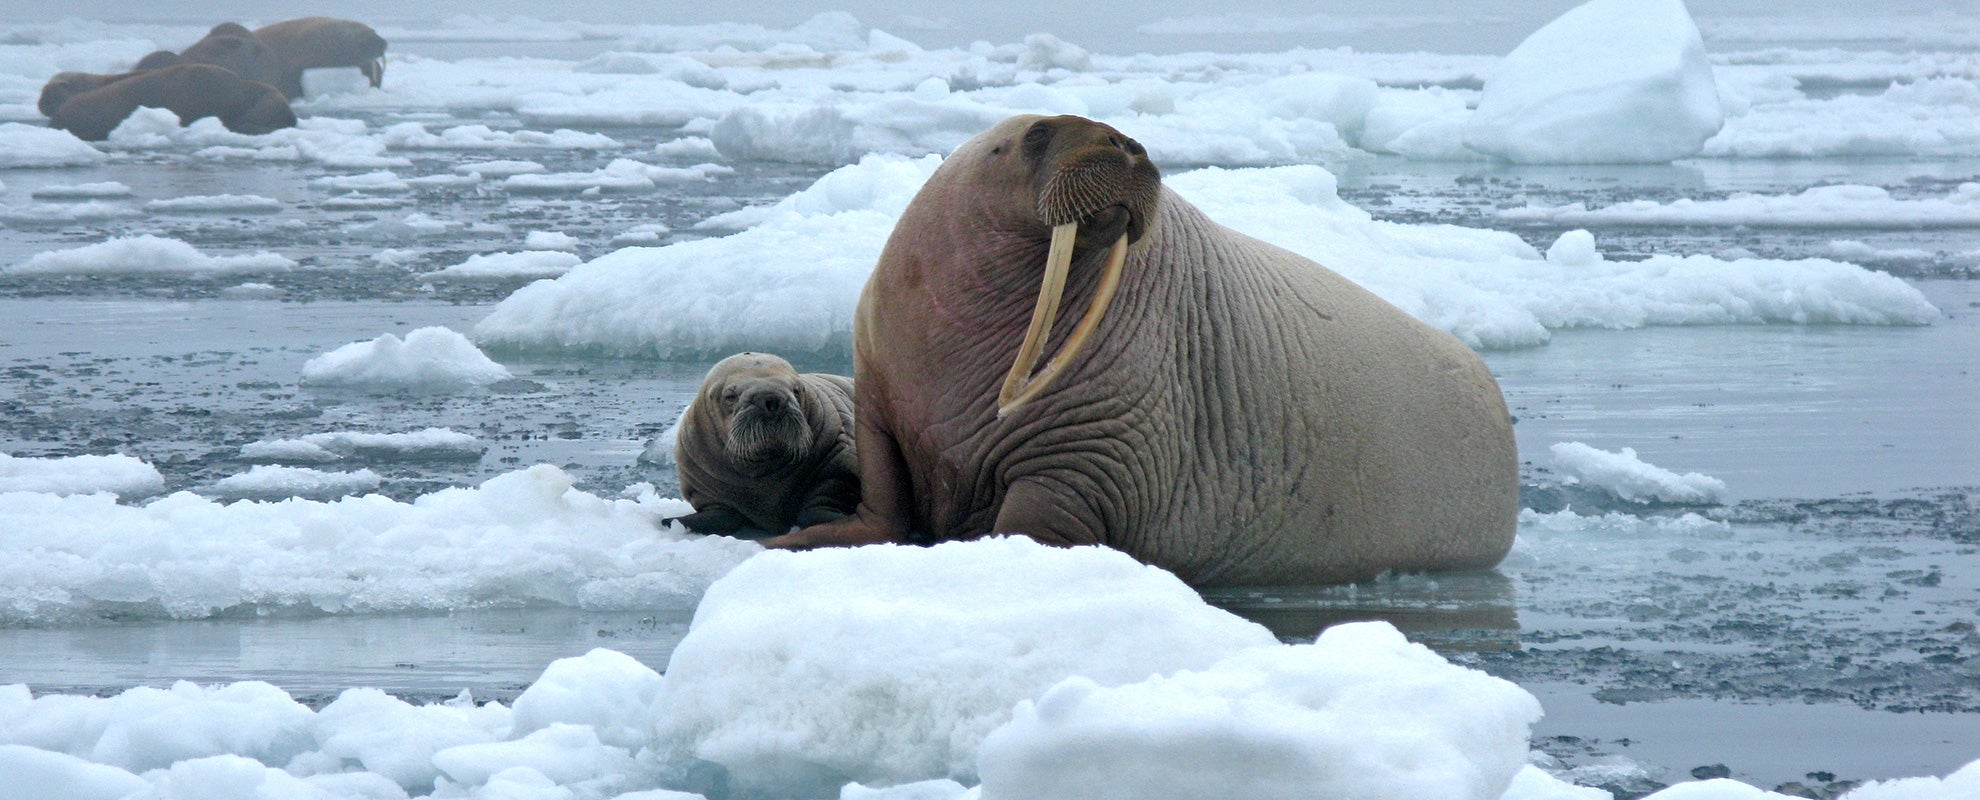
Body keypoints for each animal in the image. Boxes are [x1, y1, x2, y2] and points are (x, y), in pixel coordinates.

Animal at [665, 352, 859, 534]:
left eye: (796, 390)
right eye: (729, 396)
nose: (771, 399)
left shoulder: (839, 455)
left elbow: (820, 502)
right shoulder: (704, 490)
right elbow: (721, 517)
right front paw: (669, 521)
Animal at [768, 113, 1512, 586]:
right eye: (1037, 133)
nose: (1126, 144)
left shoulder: (1091, 449)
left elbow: (1037, 518)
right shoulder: (881, 397)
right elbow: (885, 495)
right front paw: (793, 540)